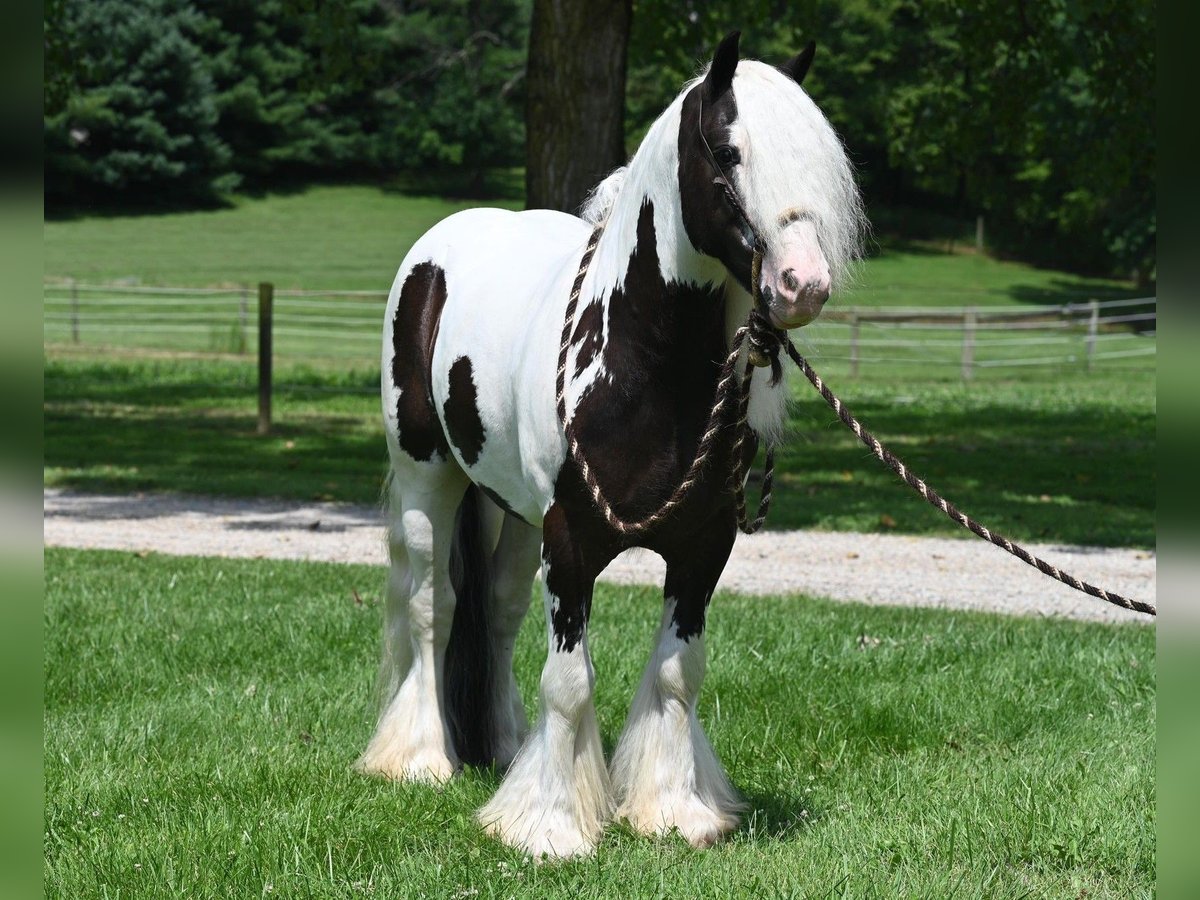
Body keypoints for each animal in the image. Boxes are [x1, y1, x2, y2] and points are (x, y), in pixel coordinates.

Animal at [352, 30, 864, 859]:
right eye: (728, 151)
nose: (802, 283)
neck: (639, 367)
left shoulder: (702, 547)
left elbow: (679, 672)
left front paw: (673, 811)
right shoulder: (571, 543)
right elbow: (569, 681)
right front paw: (552, 827)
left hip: (513, 514)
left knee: (497, 614)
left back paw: (504, 748)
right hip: (429, 480)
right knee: (433, 605)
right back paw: (422, 758)